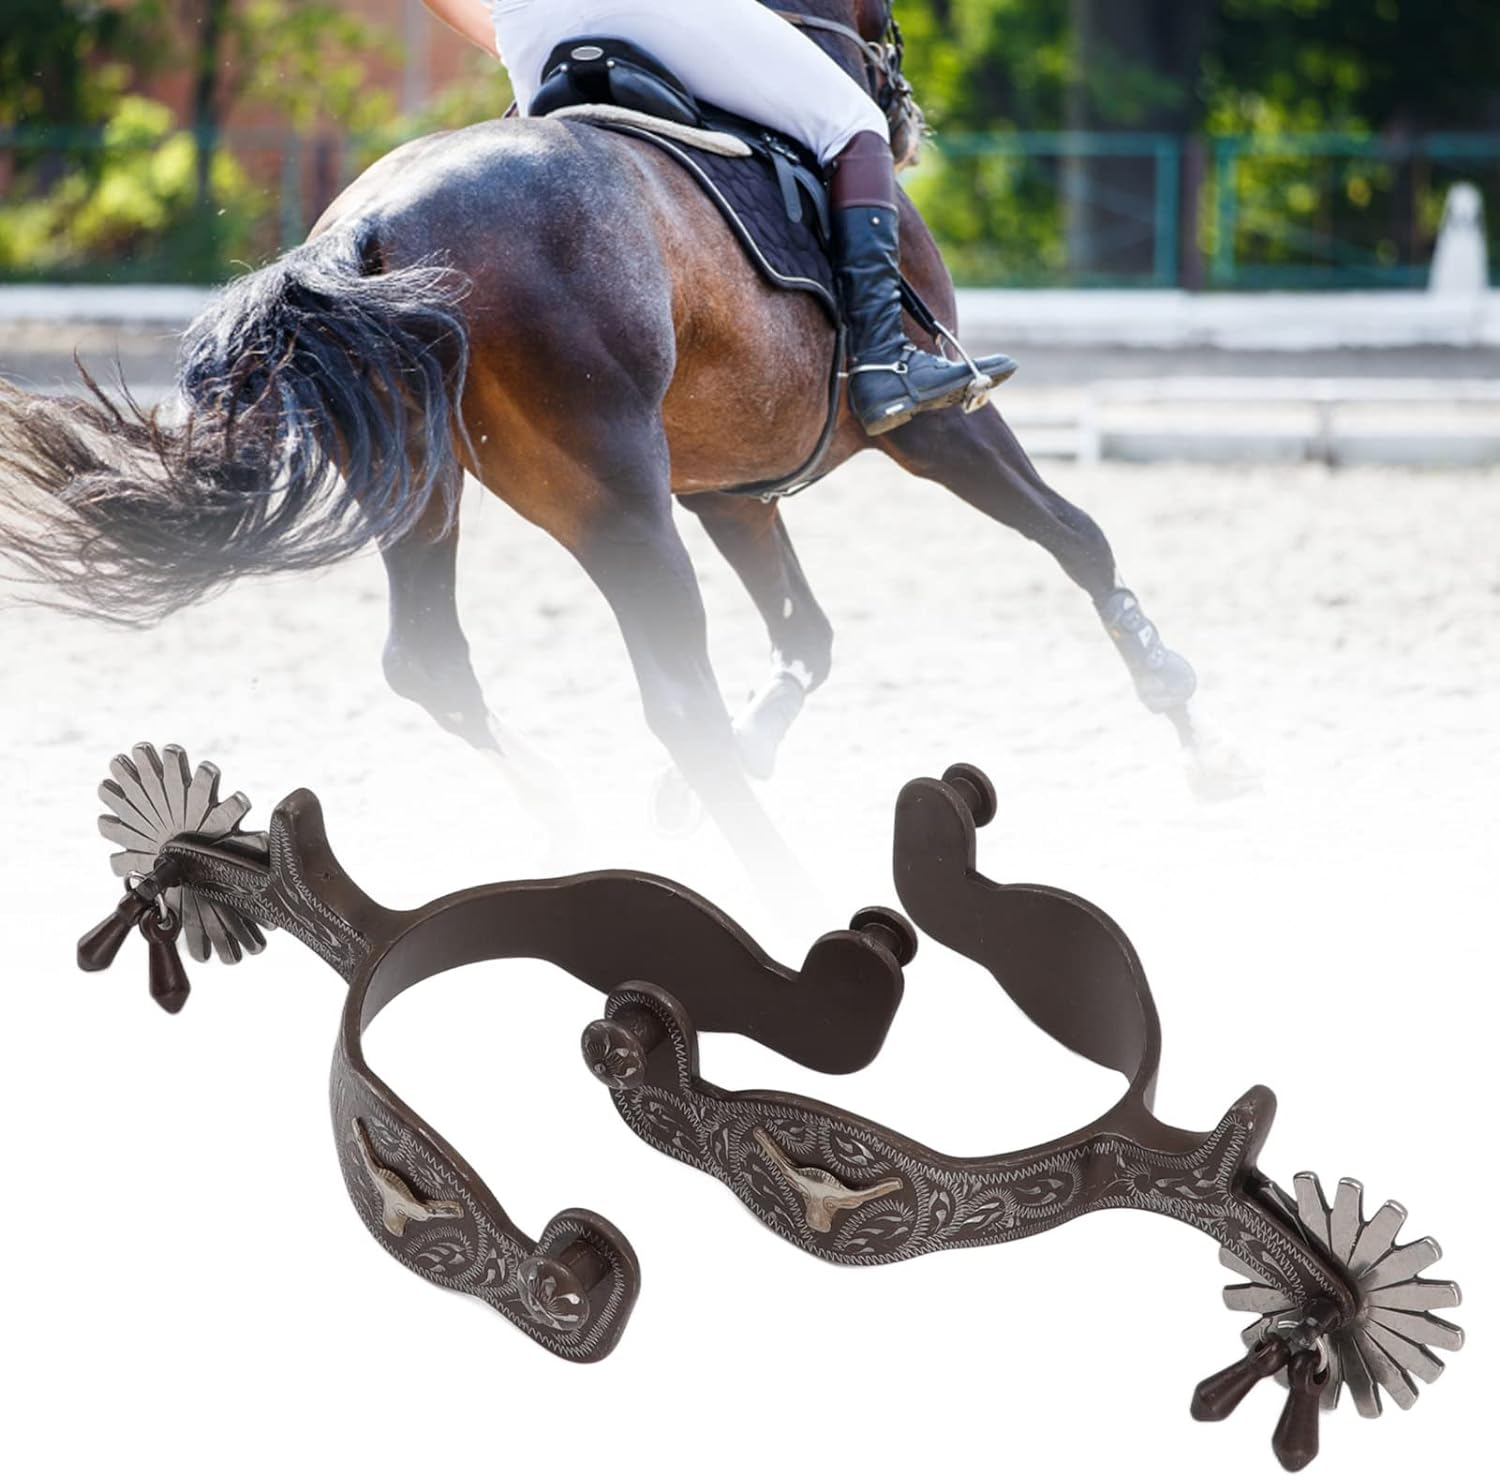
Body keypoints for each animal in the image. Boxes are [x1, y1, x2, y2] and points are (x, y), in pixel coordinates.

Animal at [0, 0, 1207, 886]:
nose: (904, 111)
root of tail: (367, 227)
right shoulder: (938, 423)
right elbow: (1078, 538)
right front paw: (1190, 717)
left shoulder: (731, 489)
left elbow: (808, 638)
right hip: (616, 503)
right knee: (675, 695)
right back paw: (784, 890)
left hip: (431, 486)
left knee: (432, 661)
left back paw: (576, 821)